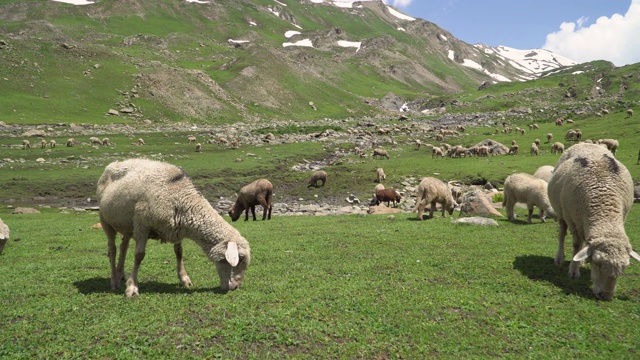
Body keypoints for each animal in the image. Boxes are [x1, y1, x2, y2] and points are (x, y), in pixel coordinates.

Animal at [96, 159, 251, 296]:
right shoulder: (142, 225)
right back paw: (114, 281)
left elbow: (179, 252)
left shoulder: (176, 228)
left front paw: (184, 279)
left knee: (123, 246)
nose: (235, 287)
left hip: (126, 224)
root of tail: (113, 164)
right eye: (240, 258)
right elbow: (139, 255)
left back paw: (120, 274)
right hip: (105, 220)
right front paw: (132, 287)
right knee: (112, 249)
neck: (181, 196)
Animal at [544, 142, 640, 300]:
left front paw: (579, 261)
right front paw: (573, 271)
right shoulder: (573, 221)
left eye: (624, 268)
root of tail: (586, 143)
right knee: (562, 235)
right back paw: (560, 258)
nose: (606, 296)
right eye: (597, 264)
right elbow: (576, 245)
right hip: (562, 213)